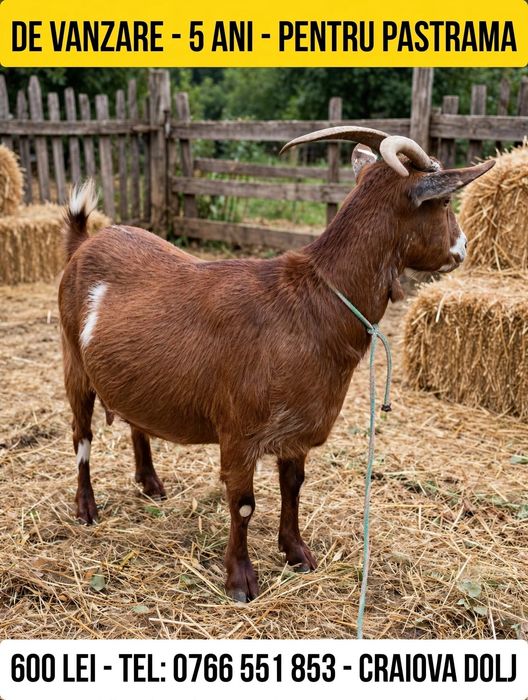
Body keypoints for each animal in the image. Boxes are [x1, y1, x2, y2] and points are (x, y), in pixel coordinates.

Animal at [59, 127, 493, 602]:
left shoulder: (297, 431)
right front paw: (241, 580)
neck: (310, 305)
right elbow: (244, 504)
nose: (464, 247)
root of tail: (84, 242)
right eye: (445, 202)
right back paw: (86, 509)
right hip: (73, 363)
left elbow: (293, 487)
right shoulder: (238, 432)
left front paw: (297, 554)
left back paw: (151, 483)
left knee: (136, 421)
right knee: (82, 436)